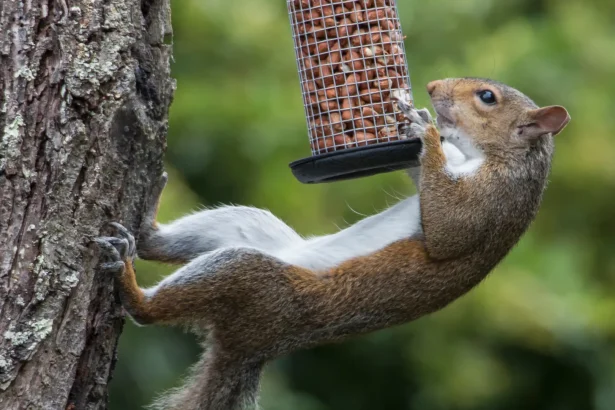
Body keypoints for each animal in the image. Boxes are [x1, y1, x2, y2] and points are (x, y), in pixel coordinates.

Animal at [94, 77, 572, 410]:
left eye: (487, 97)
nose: (433, 88)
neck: (491, 158)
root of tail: (252, 345)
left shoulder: (489, 205)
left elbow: (446, 231)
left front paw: (425, 130)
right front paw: (417, 121)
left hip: (252, 280)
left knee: (151, 310)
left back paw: (130, 283)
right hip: (248, 226)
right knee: (159, 245)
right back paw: (146, 219)